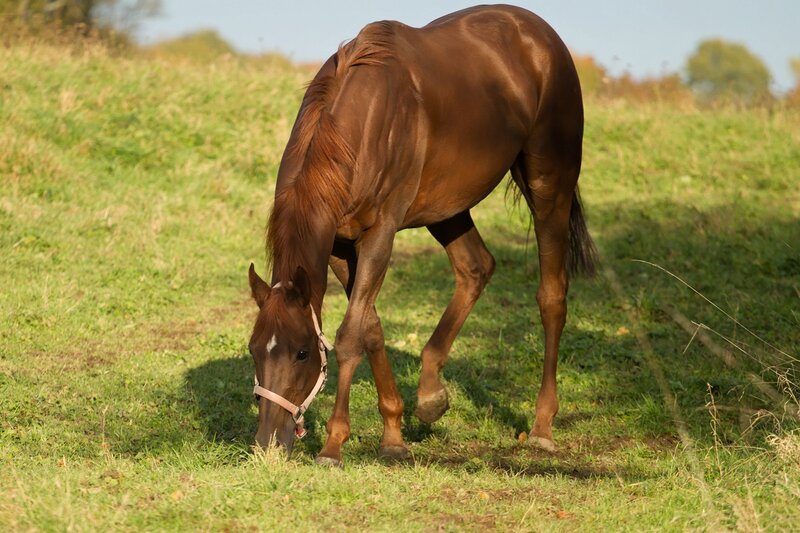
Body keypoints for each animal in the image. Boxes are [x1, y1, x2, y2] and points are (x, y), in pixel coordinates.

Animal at [247, 4, 597, 466]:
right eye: (253, 348)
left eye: (303, 352)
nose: (268, 443)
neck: (363, 120)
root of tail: (540, 34)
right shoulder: (340, 247)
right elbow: (370, 328)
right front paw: (394, 435)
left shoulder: (380, 235)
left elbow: (349, 336)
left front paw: (334, 444)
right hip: (448, 207)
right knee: (475, 268)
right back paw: (430, 395)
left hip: (549, 185)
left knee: (552, 297)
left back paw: (541, 427)